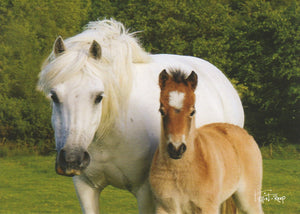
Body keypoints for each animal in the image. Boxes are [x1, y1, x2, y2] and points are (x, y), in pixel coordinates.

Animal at [38, 19, 244, 213]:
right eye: (54, 96)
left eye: (99, 97)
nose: (72, 159)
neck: (110, 133)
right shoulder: (85, 187)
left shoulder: (145, 192)